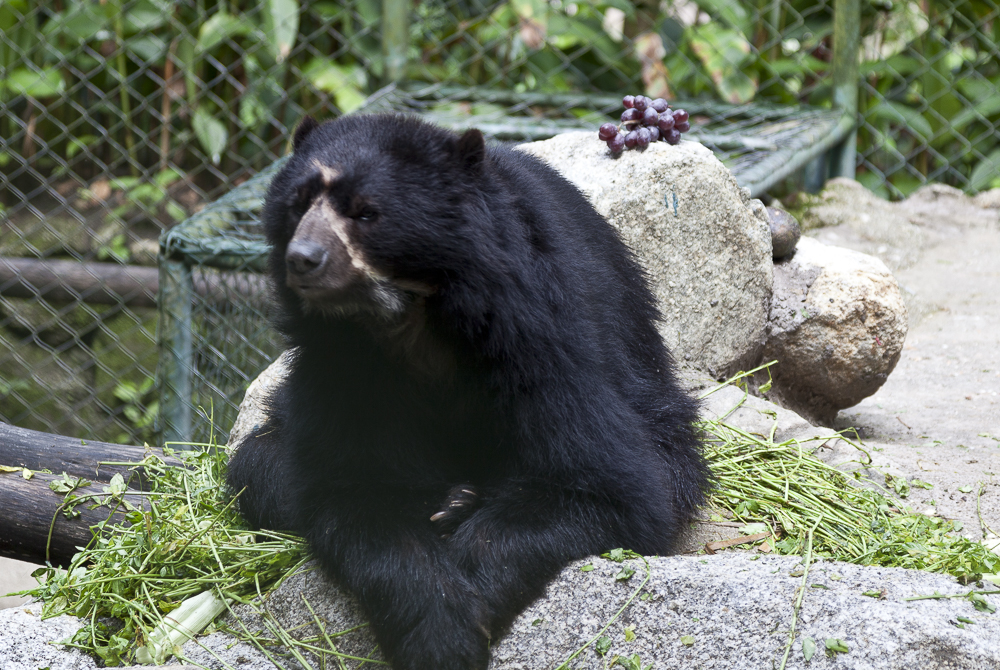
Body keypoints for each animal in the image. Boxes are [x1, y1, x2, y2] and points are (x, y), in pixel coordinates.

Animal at [229, 115, 712, 670]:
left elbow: (605, 486)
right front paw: (439, 632)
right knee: (259, 469)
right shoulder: (343, 372)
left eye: (366, 212)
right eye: (298, 203)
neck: (410, 317)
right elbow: (355, 491)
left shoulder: (537, 337)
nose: (304, 259)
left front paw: (469, 599)